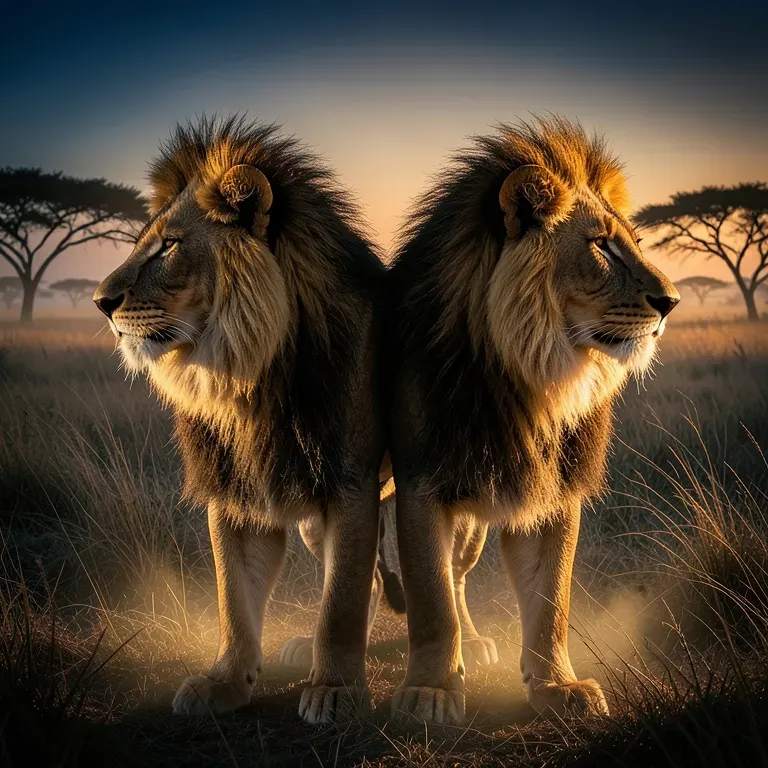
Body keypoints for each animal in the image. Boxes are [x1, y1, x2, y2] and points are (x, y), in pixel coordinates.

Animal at [92, 116, 403, 724]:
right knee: (375, 575)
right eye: (142, 243)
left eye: (168, 247)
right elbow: (235, 598)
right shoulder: (234, 489)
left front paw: (336, 690)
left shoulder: (349, 482)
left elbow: (341, 598)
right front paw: (225, 683)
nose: (99, 301)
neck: (246, 375)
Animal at [385, 116, 679, 725]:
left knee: (459, 575)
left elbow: (551, 600)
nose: (672, 302)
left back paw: (474, 644)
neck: (531, 377)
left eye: (637, 244)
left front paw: (557, 687)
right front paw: (430, 690)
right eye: (601, 246)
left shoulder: (555, 490)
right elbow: (429, 596)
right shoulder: (423, 482)